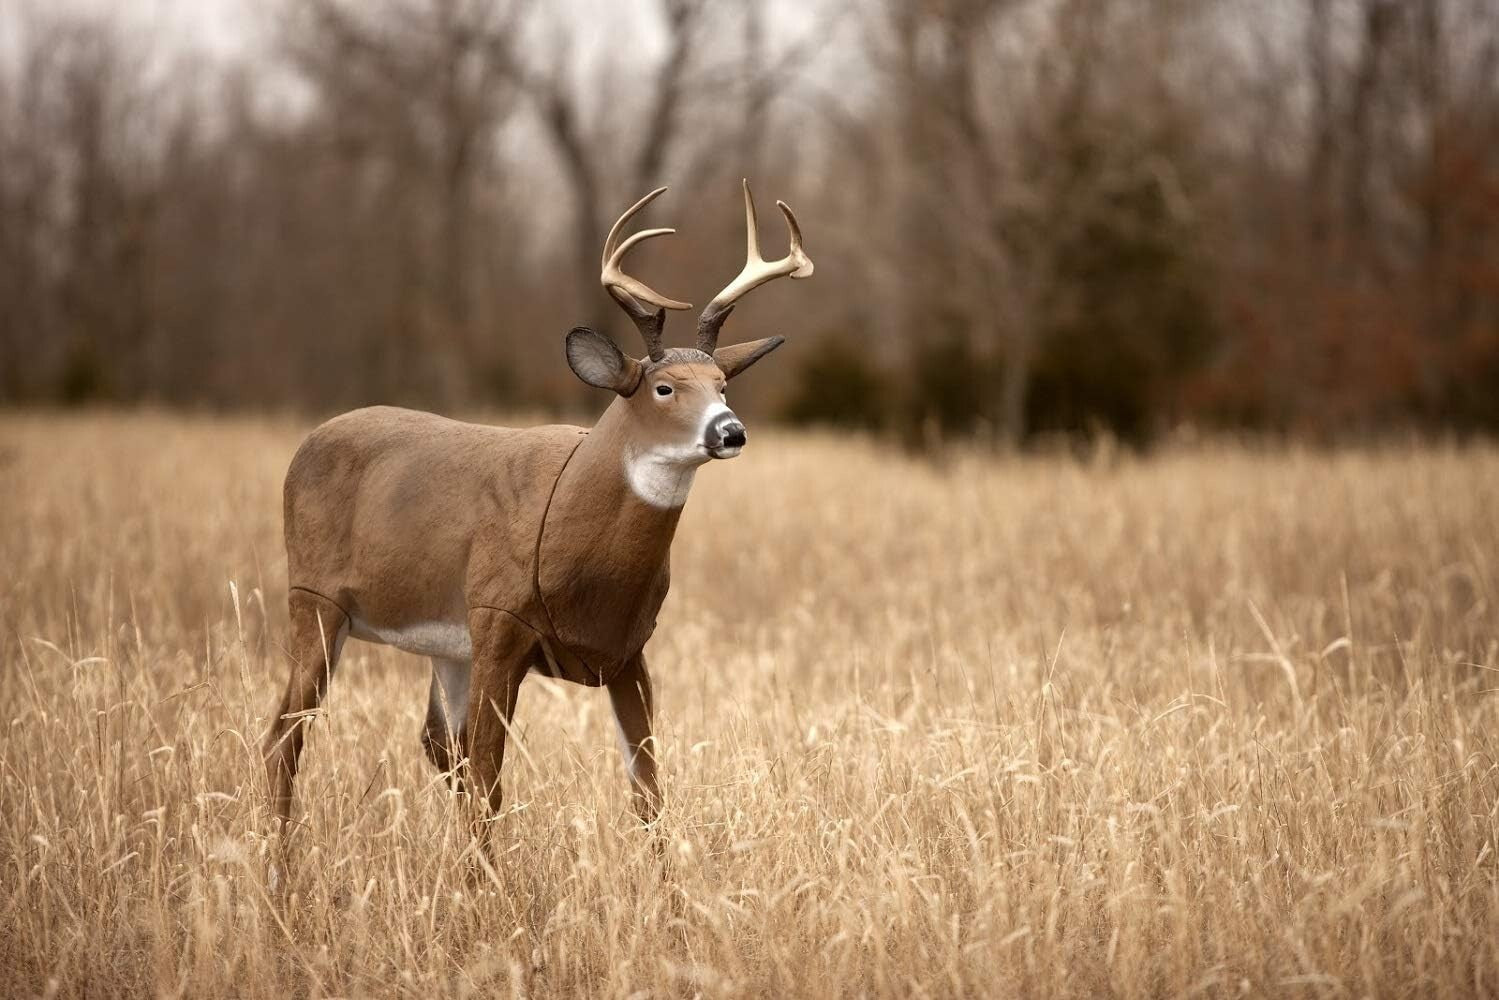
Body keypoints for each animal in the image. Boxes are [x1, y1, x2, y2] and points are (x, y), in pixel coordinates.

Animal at [262, 181, 813, 849]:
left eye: (722, 385)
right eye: (665, 388)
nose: (731, 431)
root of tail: (305, 446)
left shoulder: (626, 651)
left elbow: (648, 791)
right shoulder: (499, 624)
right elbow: (490, 782)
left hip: (446, 644)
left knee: (434, 743)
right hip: (315, 598)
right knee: (285, 738)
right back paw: (278, 857)